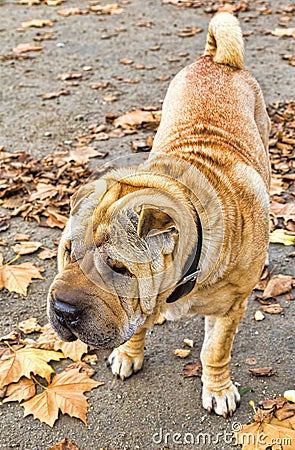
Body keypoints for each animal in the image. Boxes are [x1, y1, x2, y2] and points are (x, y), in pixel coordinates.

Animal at [48, 11, 270, 418]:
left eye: (118, 269)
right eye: (67, 253)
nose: (63, 310)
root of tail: (217, 59)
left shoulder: (231, 306)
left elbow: (215, 350)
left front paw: (218, 390)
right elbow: (137, 326)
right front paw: (128, 354)